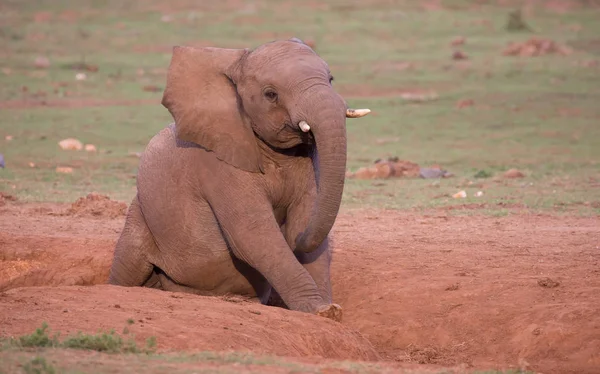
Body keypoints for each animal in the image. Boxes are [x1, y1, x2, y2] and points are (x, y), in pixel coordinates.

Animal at [108, 37, 370, 322]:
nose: (295, 237)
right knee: (126, 269)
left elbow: (305, 219)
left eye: (331, 79)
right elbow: (252, 233)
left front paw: (328, 311)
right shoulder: (217, 162)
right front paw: (320, 310)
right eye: (270, 94)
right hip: (139, 219)